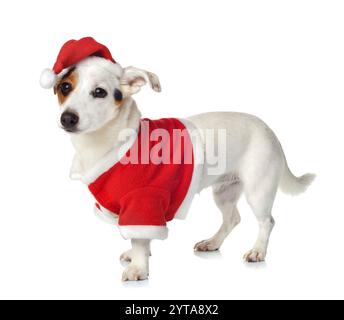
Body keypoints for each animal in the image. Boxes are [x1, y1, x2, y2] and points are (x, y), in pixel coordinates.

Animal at [40, 37, 314, 282]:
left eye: (99, 92)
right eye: (65, 87)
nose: (67, 118)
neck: (110, 141)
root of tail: (268, 129)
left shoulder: (144, 201)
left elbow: (140, 238)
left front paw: (139, 268)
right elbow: (141, 238)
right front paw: (139, 257)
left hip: (258, 190)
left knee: (267, 221)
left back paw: (258, 251)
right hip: (224, 191)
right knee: (232, 218)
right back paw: (212, 242)